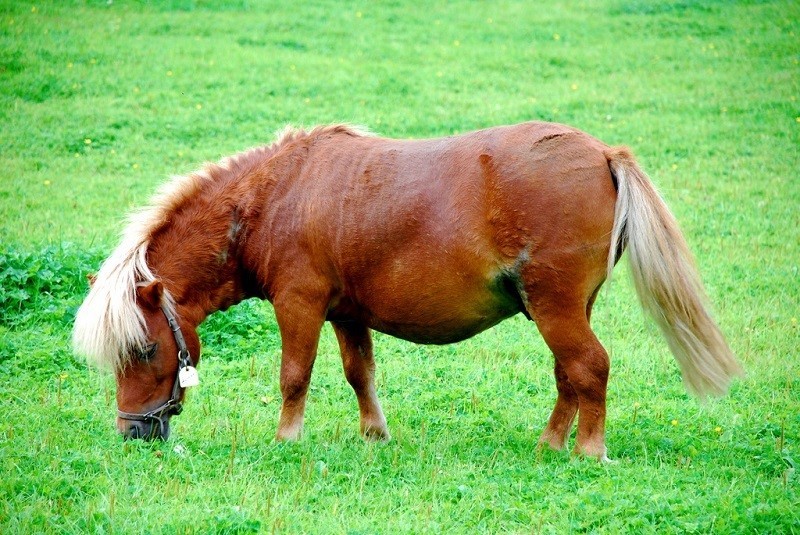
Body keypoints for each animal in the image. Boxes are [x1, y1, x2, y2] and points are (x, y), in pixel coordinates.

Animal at [72, 121, 740, 460]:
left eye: (144, 351)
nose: (132, 433)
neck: (274, 195)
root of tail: (603, 153)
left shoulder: (300, 305)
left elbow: (294, 376)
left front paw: (287, 438)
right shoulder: (346, 313)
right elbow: (359, 372)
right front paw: (374, 434)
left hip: (556, 308)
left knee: (591, 366)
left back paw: (587, 451)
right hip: (566, 308)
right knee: (570, 374)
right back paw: (552, 442)